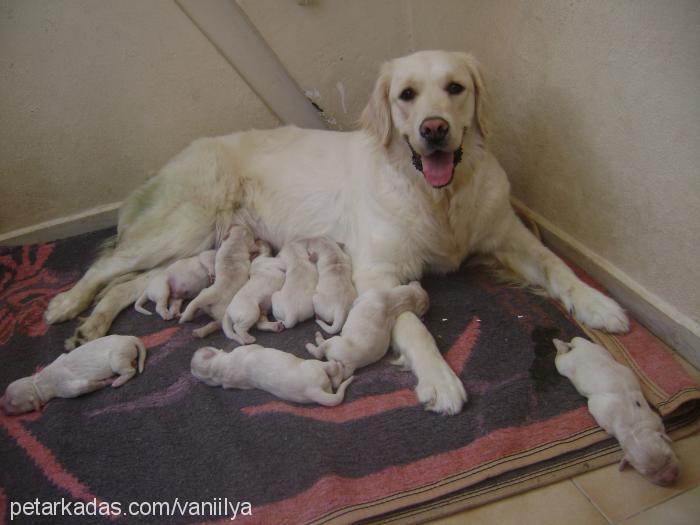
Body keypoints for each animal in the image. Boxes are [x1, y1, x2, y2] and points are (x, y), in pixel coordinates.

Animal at [1, 334, 146, 416]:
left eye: (12, 403)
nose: (1, 405)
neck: (37, 383)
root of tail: (130, 338)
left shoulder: (66, 388)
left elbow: (83, 387)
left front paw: (105, 382)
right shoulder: (59, 358)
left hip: (117, 358)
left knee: (130, 371)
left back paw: (118, 381)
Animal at [190, 344, 352, 406]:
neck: (219, 369)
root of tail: (312, 391)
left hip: (325, 388)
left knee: (334, 386)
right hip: (314, 366)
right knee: (334, 376)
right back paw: (337, 365)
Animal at [552, 338, 680, 486]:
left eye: (668, 456)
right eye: (647, 473)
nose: (670, 478)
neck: (633, 429)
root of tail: (577, 349)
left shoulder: (654, 419)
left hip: (591, 348)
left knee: (574, 341)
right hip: (563, 365)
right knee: (561, 353)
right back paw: (558, 343)